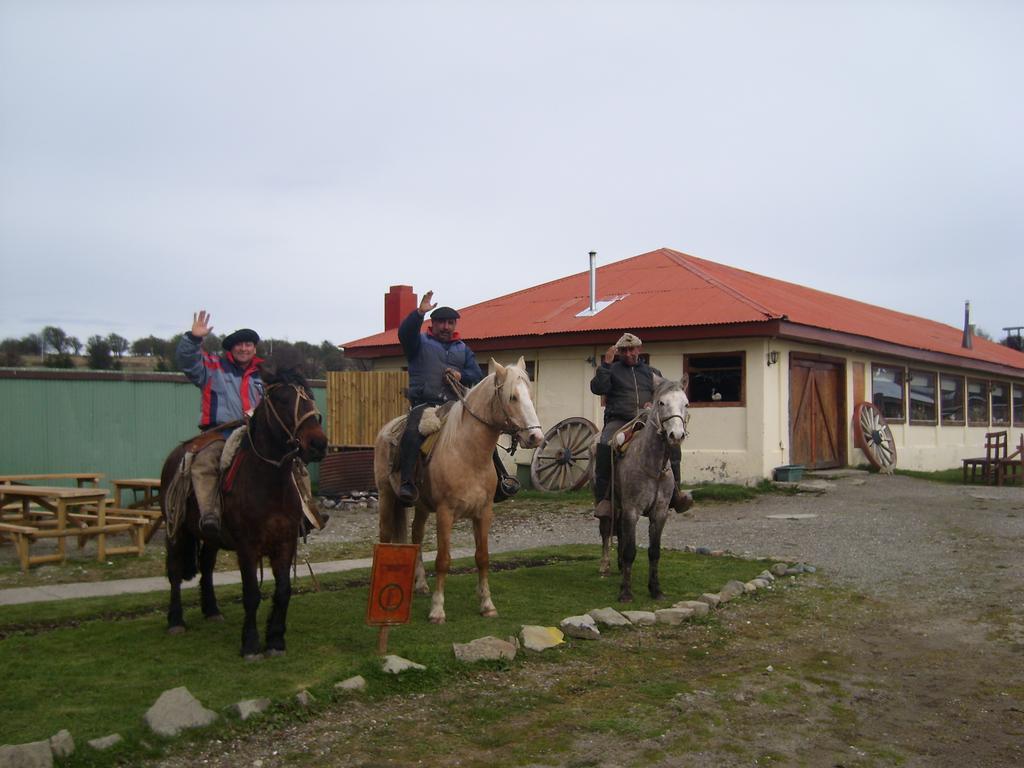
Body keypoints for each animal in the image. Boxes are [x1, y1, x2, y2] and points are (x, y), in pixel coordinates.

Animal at [161, 354, 325, 663]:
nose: (318, 444)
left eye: (310, 397)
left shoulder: (285, 543)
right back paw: (175, 621)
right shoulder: (248, 547)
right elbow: (251, 593)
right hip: (175, 530)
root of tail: (177, 454)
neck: (269, 482)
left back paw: (212, 610)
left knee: (207, 566)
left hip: (210, 536)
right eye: (283, 399)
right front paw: (250, 644)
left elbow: (283, 590)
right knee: (175, 571)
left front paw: (276, 640)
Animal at [372, 360, 544, 626]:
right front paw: (437, 610)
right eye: (512, 397)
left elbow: (482, 557)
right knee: (386, 535)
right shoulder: (446, 513)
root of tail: (387, 429)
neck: (467, 453)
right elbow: (443, 560)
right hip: (386, 496)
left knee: (416, 537)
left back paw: (420, 584)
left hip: (421, 506)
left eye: (530, 396)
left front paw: (487, 605)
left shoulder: (484, 513)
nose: (536, 437)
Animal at [598, 376, 692, 606]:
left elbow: (654, 551)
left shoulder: (659, 512)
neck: (652, 465)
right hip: (609, 504)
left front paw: (655, 589)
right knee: (606, 531)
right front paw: (625, 592)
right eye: (661, 403)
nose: (676, 435)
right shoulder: (632, 510)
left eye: (686, 404)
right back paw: (605, 565)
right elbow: (631, 551)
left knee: (620, 533)